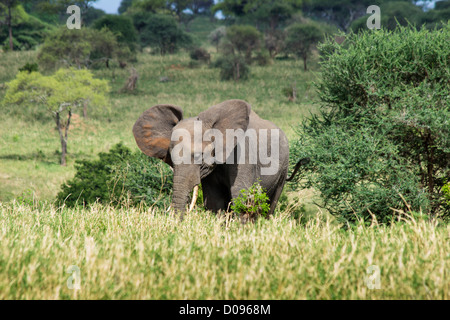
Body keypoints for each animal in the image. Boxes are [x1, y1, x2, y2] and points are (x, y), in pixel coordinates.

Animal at [131, 99, 306, 218]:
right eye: (171, 160)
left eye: (199, 156)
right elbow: (214, 200)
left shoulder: (243, 154)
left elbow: (240, 194)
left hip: (283, 167)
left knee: (271, 203)